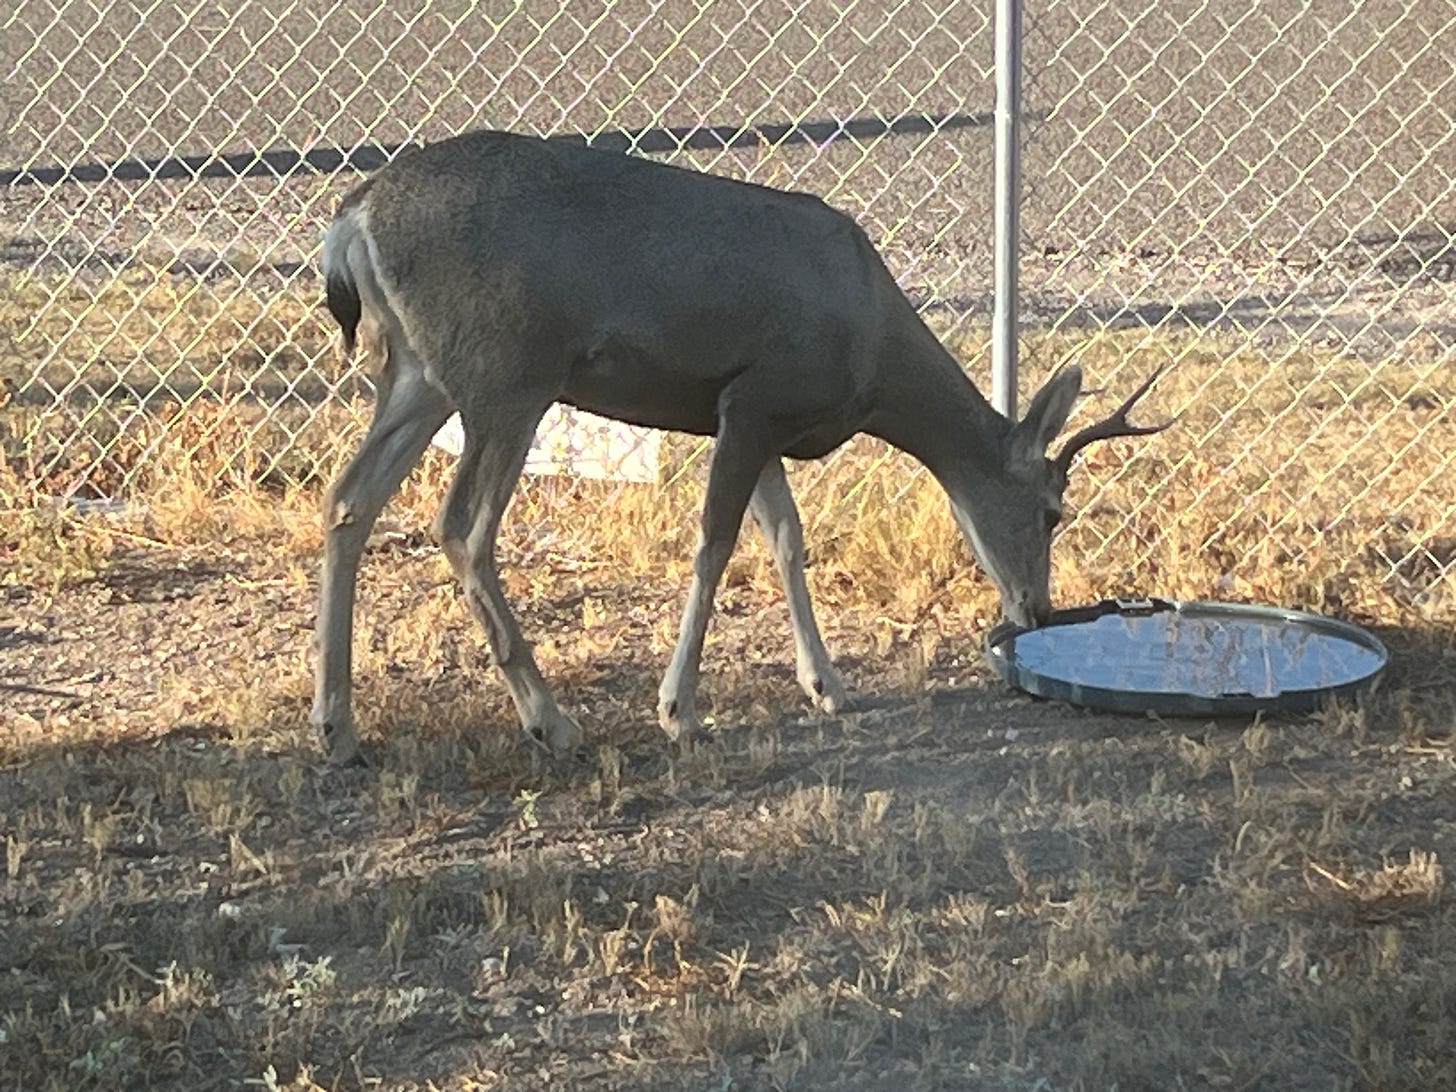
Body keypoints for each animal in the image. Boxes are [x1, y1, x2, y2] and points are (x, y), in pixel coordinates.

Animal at [313, 128, 1164, 762]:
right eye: (1053, 511)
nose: (1038, 609)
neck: (873, 352)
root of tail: (353, 219)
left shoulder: (763, 419)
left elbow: (787, 538)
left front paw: (827, 686)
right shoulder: (752, 394)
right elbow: (716, 542)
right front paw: (679, 709)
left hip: (417, 373)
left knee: (348, 497)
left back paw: (337, 725)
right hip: (508, 372)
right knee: (462, 526)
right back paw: (549, 721)